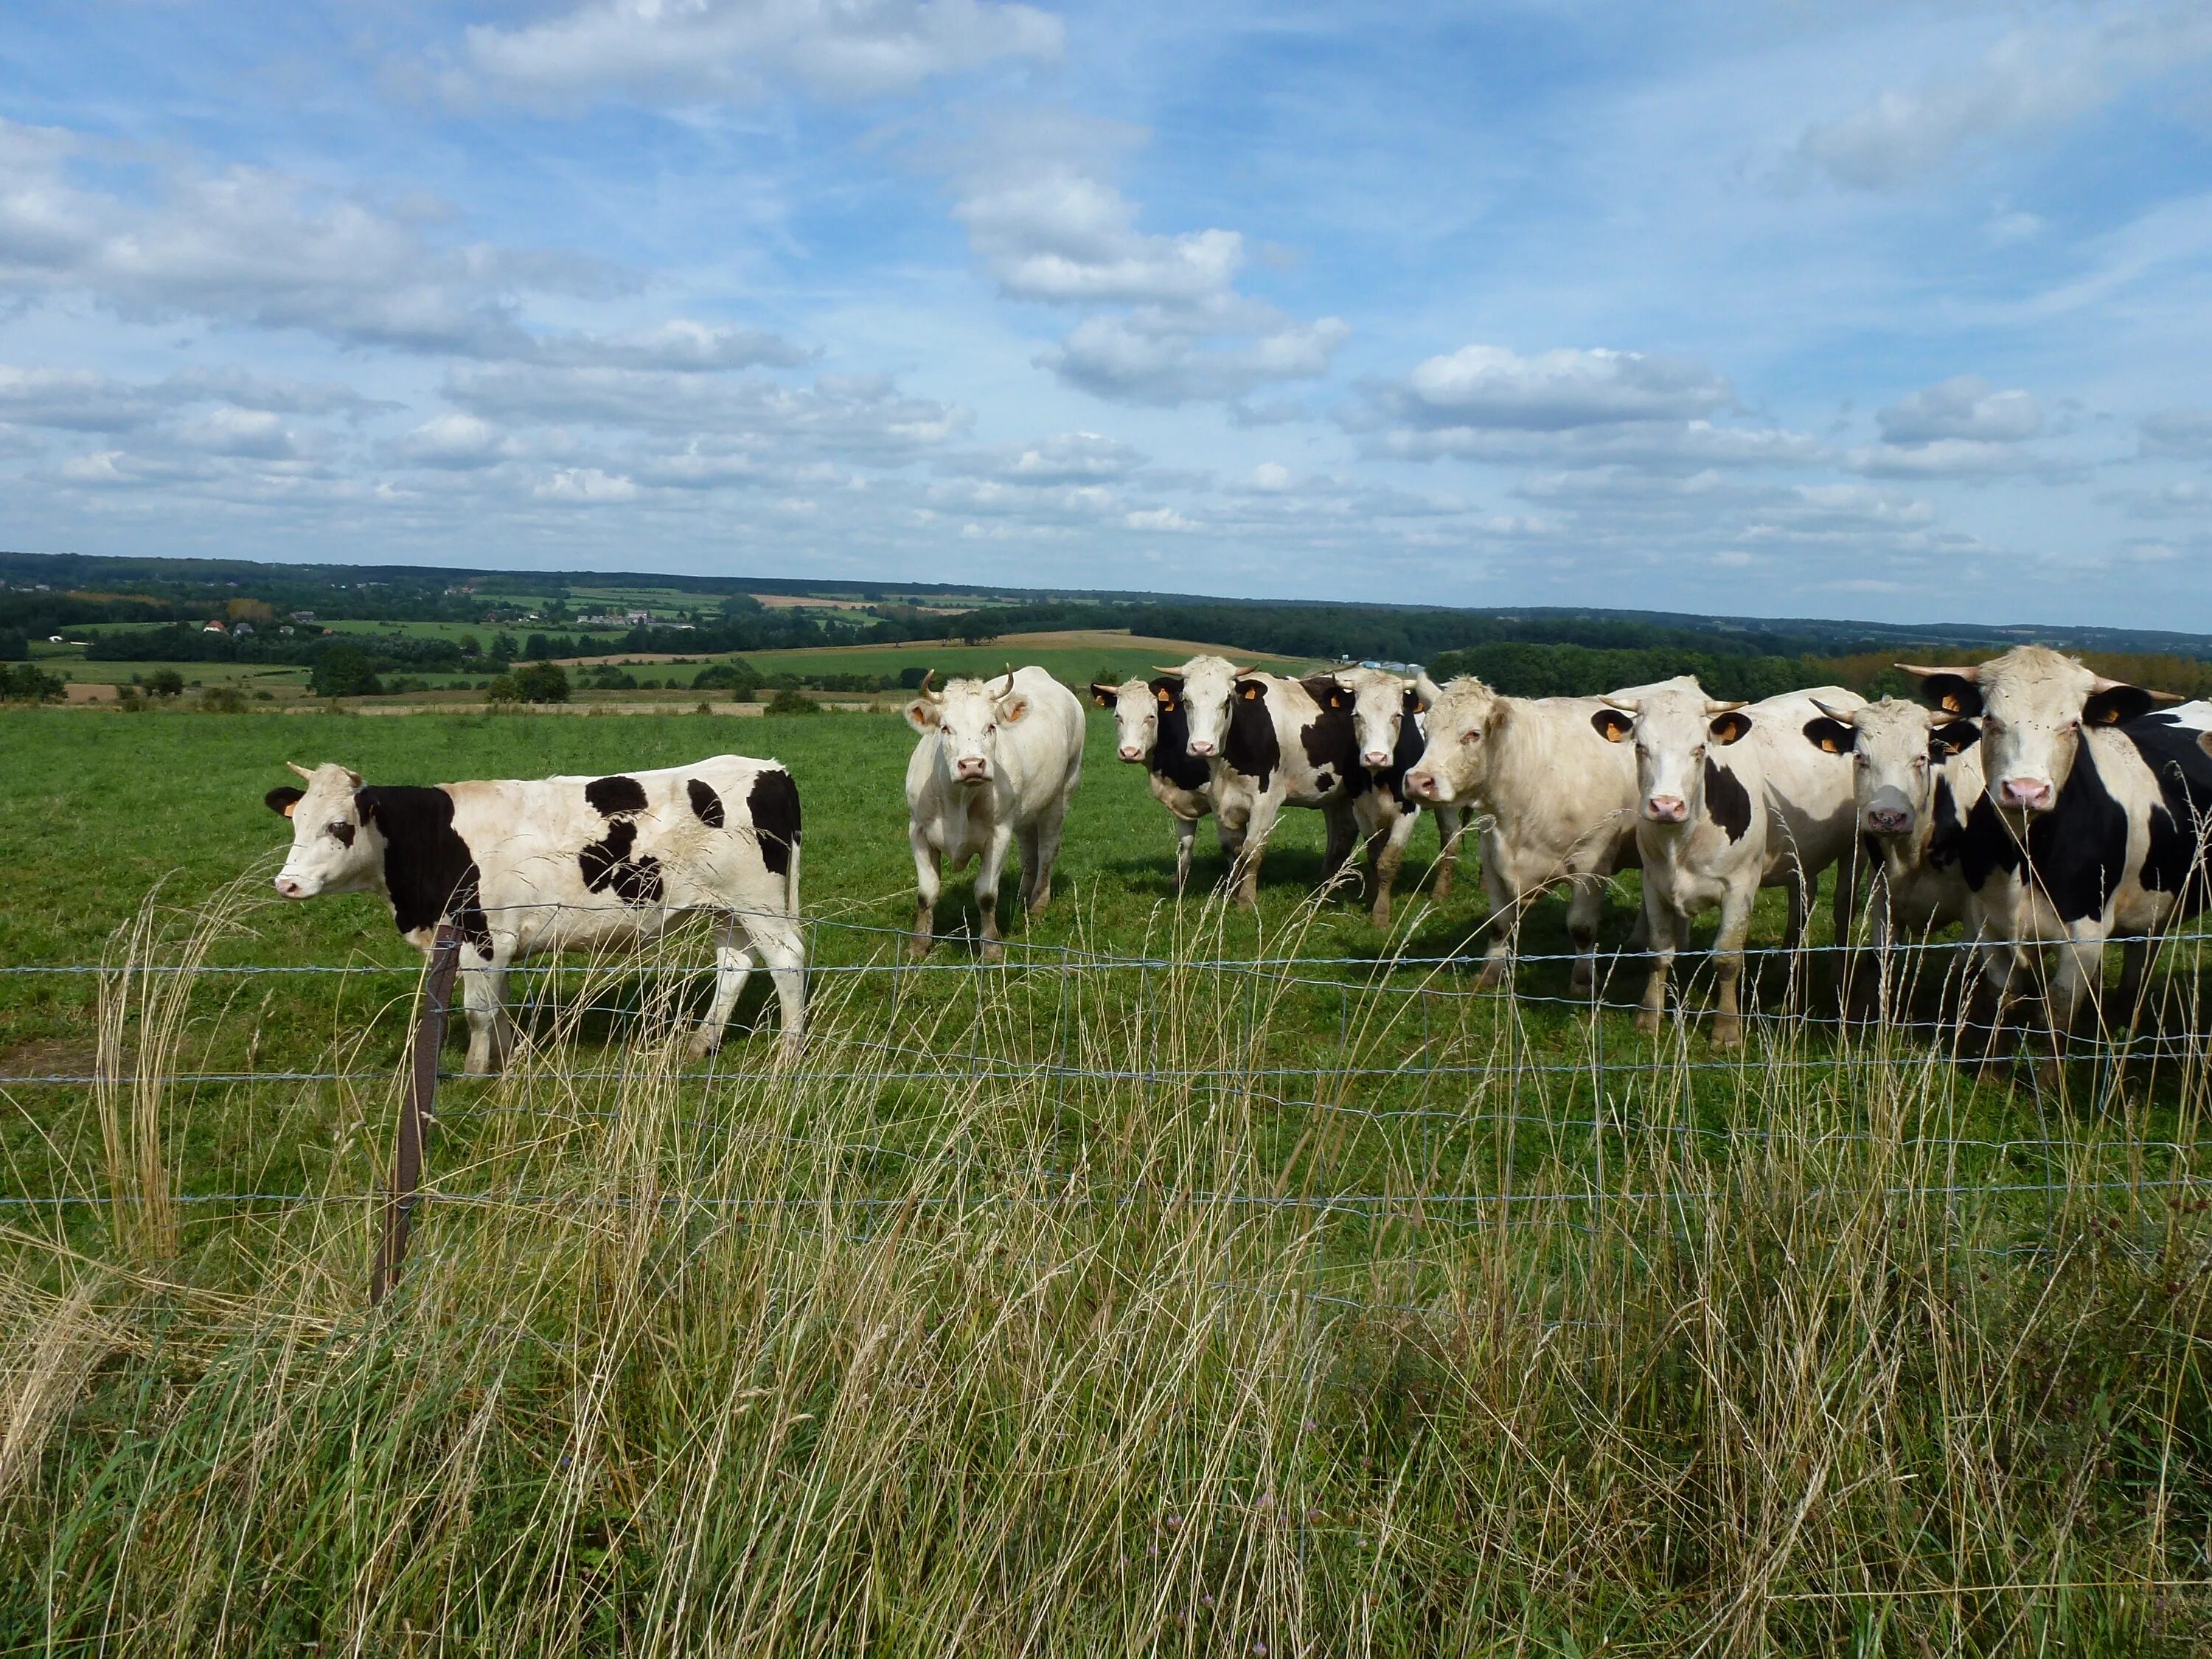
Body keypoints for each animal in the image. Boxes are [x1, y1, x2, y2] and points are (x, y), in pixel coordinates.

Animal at [264, 761, 810, 1071]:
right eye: (297, 821)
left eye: (339, 825)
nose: (286, 883)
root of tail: (771, 768)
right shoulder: (490, 942)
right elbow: (499, 1004)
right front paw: (511, 1059)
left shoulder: (484, 935)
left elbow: (479, 1011)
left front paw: (475, 1074)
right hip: (725, 907)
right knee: (735, 965)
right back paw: (700, 1046)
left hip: (758, 901)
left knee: (787, 960)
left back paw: (787, 1055)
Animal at [902, 668, 1084, 960]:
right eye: (945, 727)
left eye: (990, 726)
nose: (972, 765)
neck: (959, 800)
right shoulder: (917, 829)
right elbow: (926, 893)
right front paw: (918, 944)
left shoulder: (999, 833)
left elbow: (986, 894)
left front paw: (991, 947)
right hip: (1025, 812)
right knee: (1028, 852)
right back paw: (1023, 897)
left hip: (1061, 795)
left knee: (1047, 850)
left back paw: (1038, 904)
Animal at [1885, 646, 2212, 1044]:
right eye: (1990, 719)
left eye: (2072, 724)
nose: (2026, 790)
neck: (2022, 854)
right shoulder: (1989, 925)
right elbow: (2002, 999)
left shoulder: (2085, 938)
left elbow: (2056, 1014)